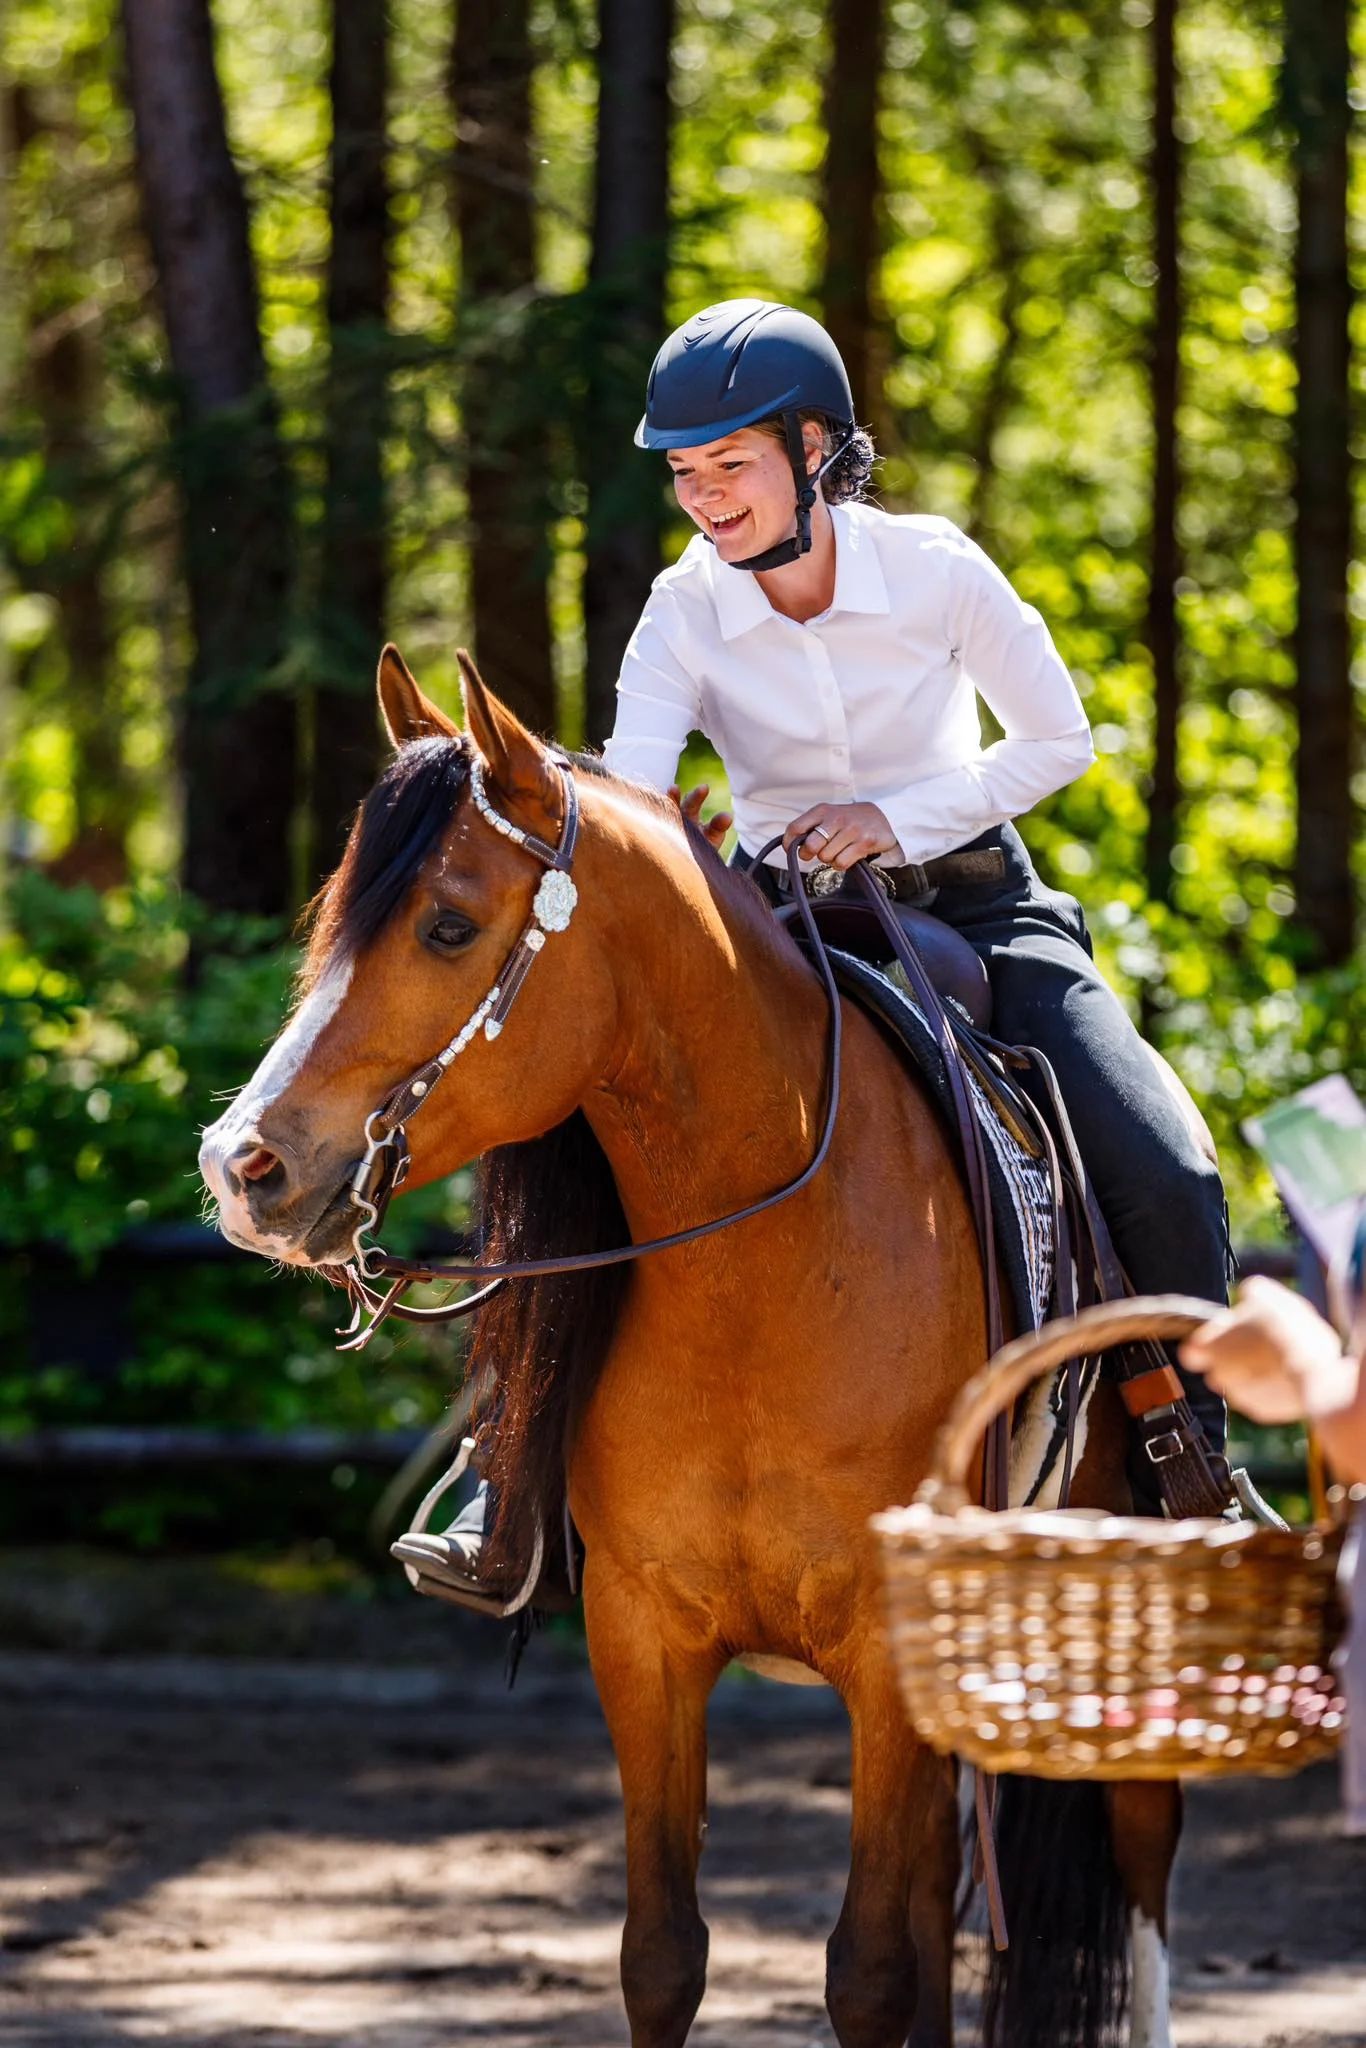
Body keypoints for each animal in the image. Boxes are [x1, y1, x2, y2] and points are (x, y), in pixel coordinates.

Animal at [198, 645, 1183, 2048]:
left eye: (446, 924)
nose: (243, 1166)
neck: (767, 1277)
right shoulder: (643, 1635)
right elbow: (665, 1952)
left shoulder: (883, 1646)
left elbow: (868, 1967)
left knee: (1141, 1847)